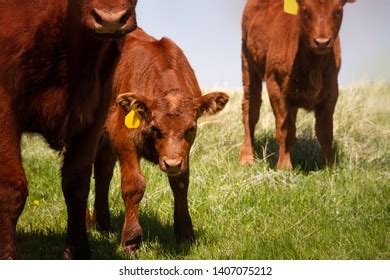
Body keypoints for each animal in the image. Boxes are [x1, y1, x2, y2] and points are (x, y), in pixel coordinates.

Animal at [88, 27, 229, 252]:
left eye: (191, 128)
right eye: (155, 128)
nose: (171, 163)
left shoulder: (182, 155)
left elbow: (181, 184)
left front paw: (185, 233)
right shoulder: (123, 138)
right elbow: (134, 185)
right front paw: (131, 240)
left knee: (103, 173)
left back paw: (102, 224)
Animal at [239, 0, 354, 170]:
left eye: (338, 10)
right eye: (305, 10)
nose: (322, 42)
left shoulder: (332, 90)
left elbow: (325, 131)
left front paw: (330, 166)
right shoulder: (276, 85)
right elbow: (284, 128)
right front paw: (284, 166)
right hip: (247, 62)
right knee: (251, 109)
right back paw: (246, 158)